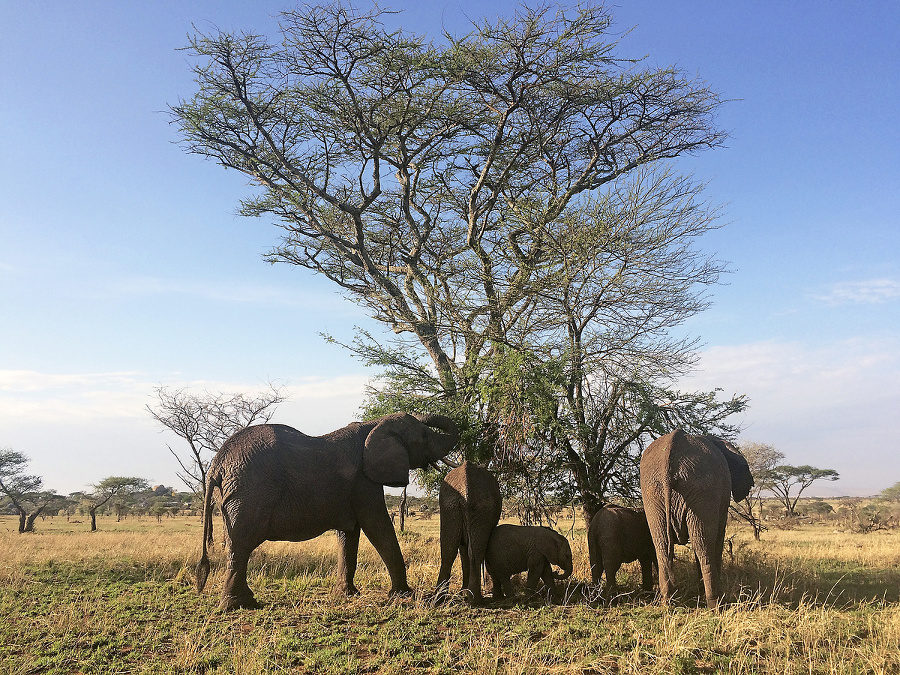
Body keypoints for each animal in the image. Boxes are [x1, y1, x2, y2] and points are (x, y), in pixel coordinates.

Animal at [195, 412, 458, 612]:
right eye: (424, 436)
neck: (374, 424)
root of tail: (216, 464)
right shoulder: (364, 483)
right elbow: (378, 526)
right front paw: (404, 596)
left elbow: (349, 535)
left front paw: (347, 594)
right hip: (250, 492)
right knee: (241, 544)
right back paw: (240, 606)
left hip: (232, 495)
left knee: (236, 543)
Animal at [434, 462, 502, 604]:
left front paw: (462, 594)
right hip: (481, 509)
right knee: (475, 552)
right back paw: (475, 599)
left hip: (449, 507)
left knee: (448, 552)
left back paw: (439, 599)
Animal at [636, 430, 756, 608]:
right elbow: (718, 538)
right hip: (703, 490)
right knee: (704, 546)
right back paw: (717, 605)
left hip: (653, 493)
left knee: (662, 544)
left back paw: (667, 603)